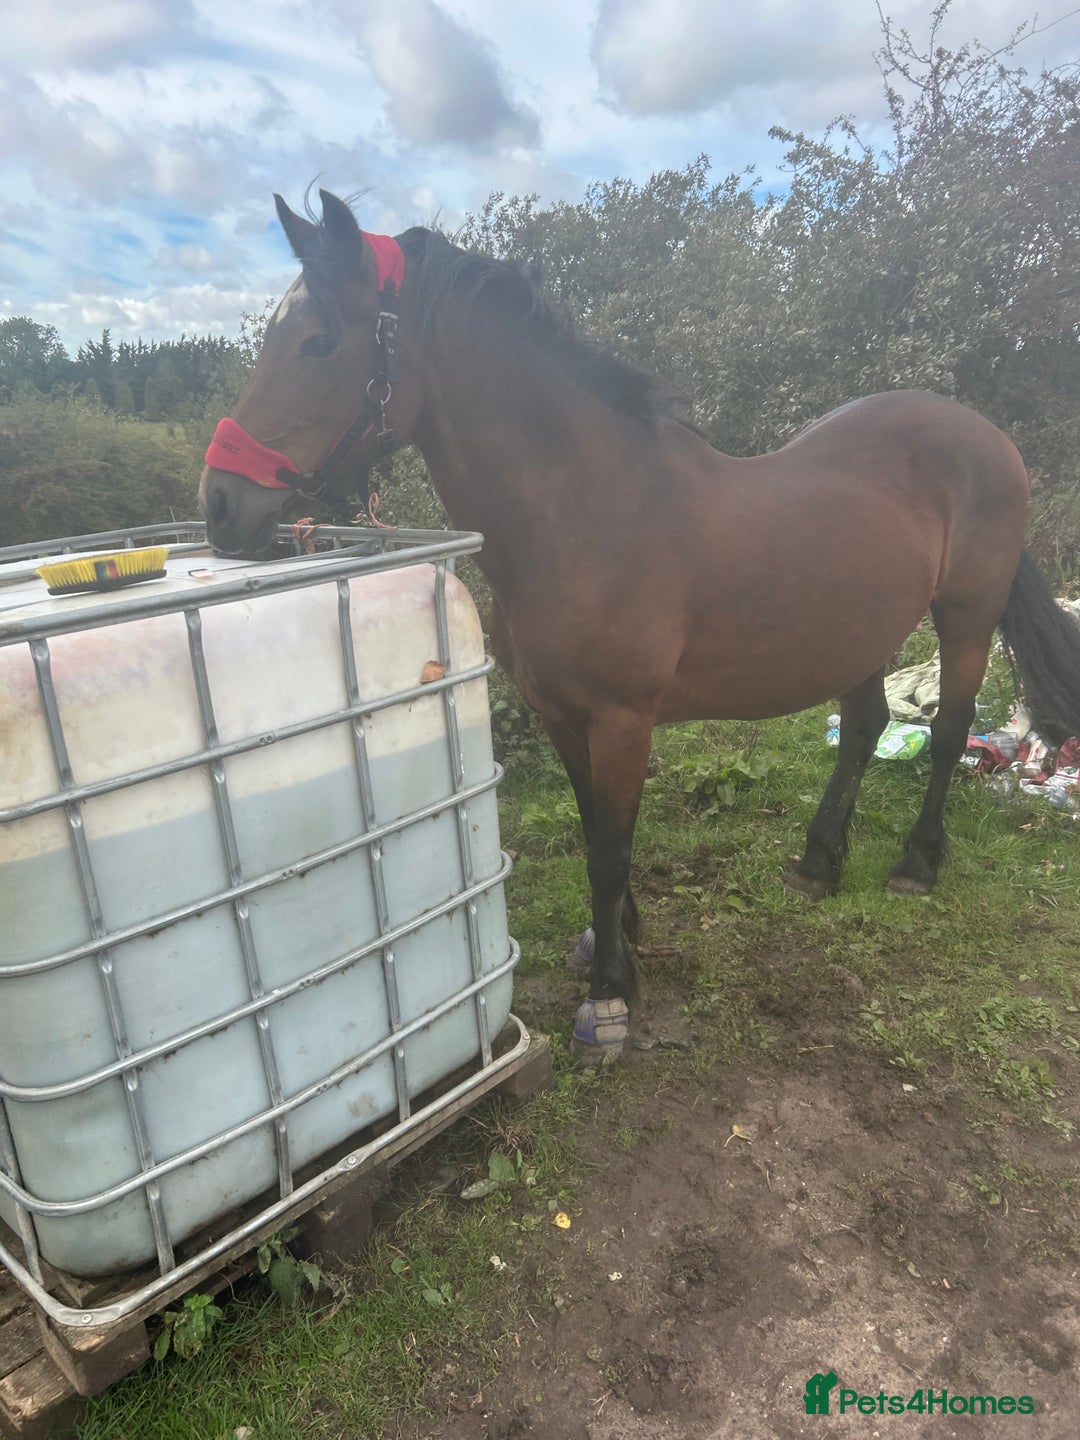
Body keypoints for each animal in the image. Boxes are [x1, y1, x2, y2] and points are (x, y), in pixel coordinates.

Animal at [200, 188, 1080, 1053]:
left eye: (318, 343)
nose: (219, 506)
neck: (583, 511)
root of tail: (983, 435)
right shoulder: (563, 715)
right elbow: (596, 832)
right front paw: (616, 944)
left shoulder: (623, 720)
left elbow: (611, 849)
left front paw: (611, 998)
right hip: (860, 627)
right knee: (864, 724)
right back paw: (817, 863)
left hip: (966, 616)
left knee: (948, 729)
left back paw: (916, 865)